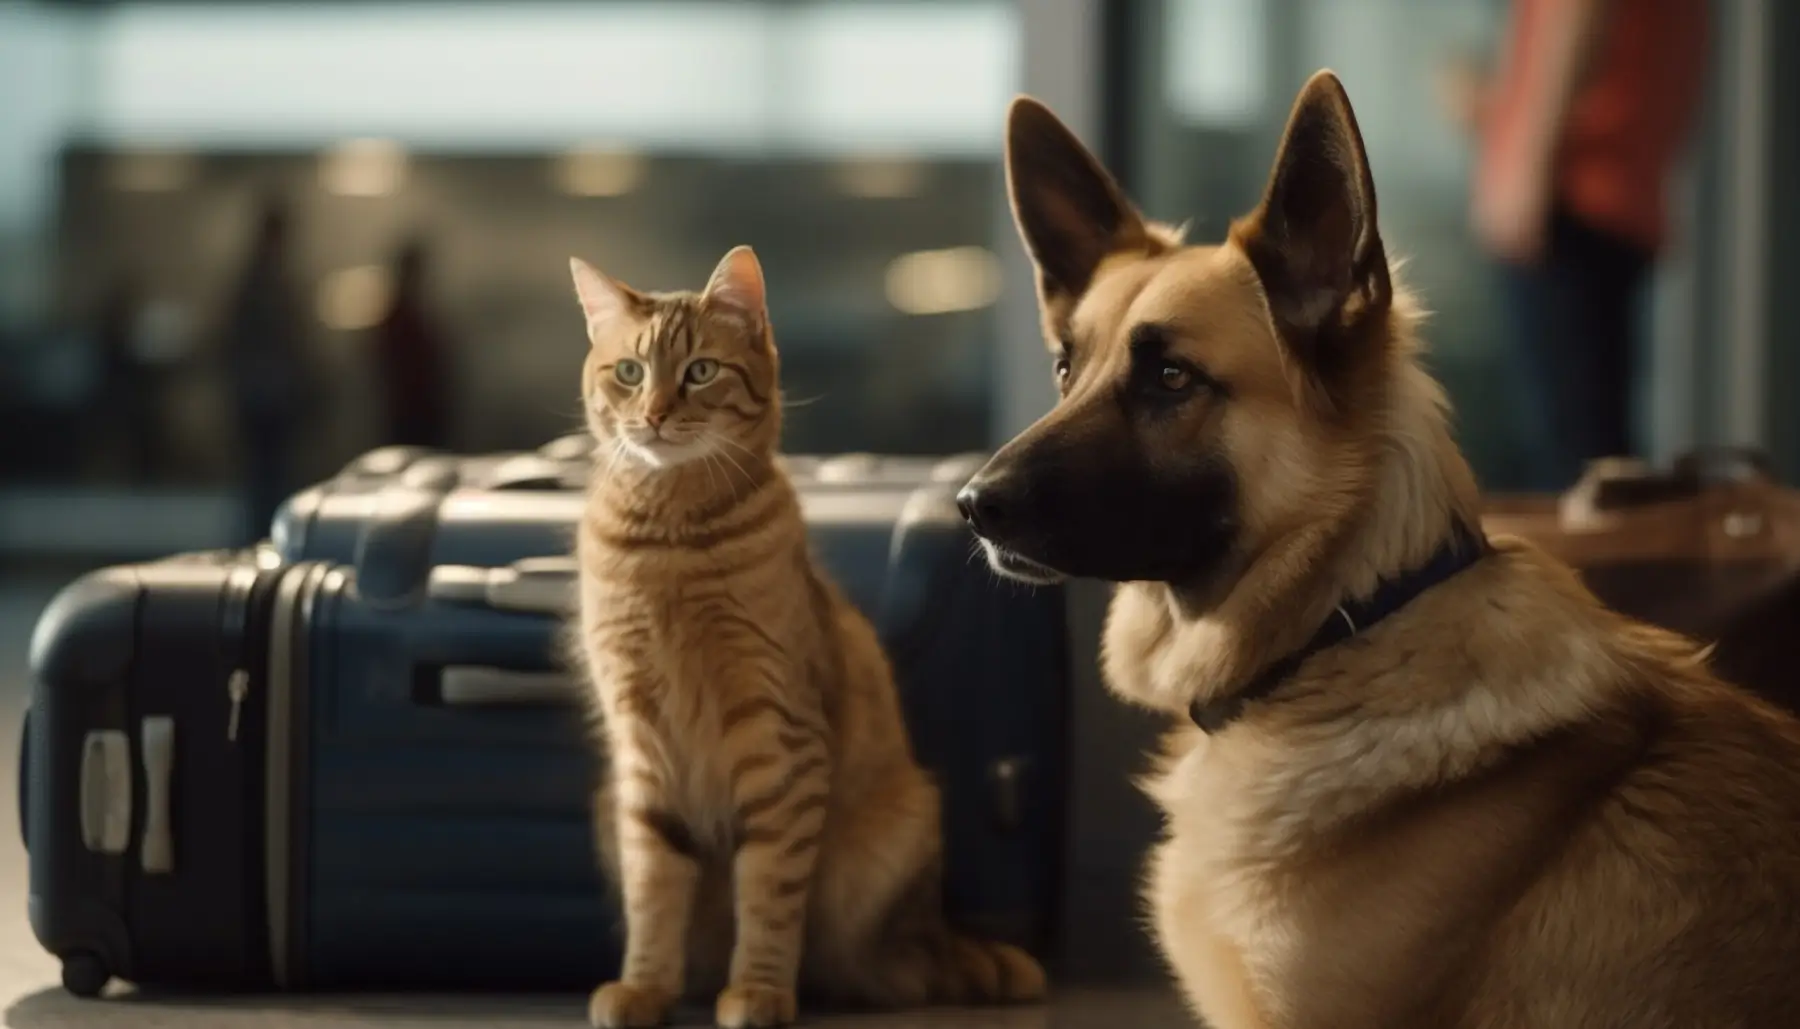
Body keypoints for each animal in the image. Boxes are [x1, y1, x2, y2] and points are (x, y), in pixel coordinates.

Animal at [561, 244, 1044, 1021]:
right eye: (630, 372)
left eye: (701, 371)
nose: (656, 415)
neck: (670, 536)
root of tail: (936, 932)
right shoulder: (640, 746)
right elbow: (653, 890)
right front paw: (645, 987)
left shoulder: (777, 737)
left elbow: (768, 892)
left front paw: (758, 989)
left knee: (887, 970)